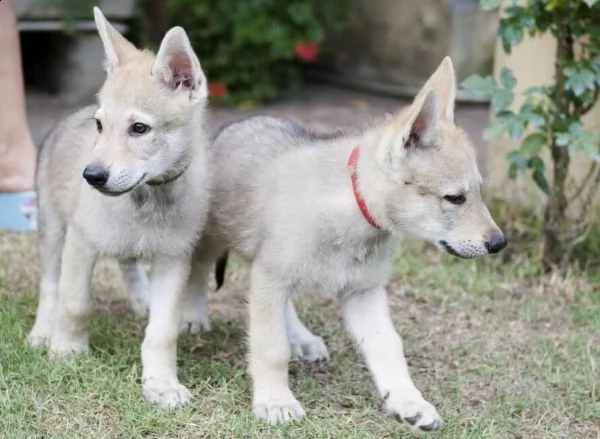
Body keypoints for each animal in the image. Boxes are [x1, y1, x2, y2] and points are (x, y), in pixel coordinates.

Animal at [28, 7, 211, 410]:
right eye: (100, 125)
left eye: (139, 128)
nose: (91, 176)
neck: (147, 201)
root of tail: (69, 117)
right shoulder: (80, 245)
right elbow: (74, 303)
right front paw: (67, 351)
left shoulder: (173, 260)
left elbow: (162, 331)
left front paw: (162, 383)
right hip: (52, 231)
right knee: (50, 286)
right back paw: (42, 332)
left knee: (128, 264)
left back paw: (141, 298)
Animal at [190, 56, 508, 432]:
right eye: (455, 198)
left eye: (478, 193)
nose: (500, 243)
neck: (354, 211)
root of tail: (233, 127)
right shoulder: (271, 277)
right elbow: (271, 347)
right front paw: (275, 401)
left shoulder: (363, 292)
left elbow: (388, 347)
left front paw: (409, 402)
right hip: (213, 239)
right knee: (197, 270)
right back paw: (193, 314)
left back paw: (301, 337)